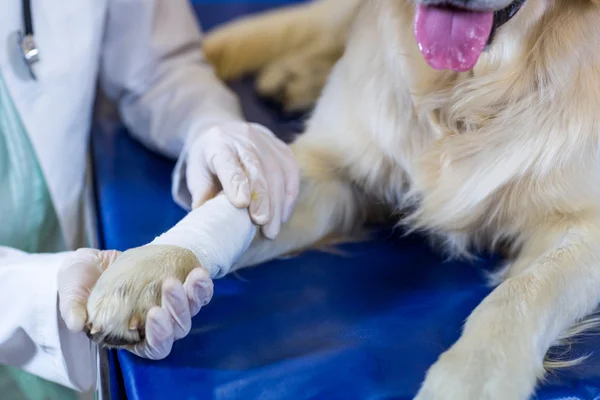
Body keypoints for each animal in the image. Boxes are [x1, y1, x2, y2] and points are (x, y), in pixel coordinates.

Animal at [85, 0, 600, 400]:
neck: (464, 92)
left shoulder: (583, 231)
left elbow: (519, 293)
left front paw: (475, 378)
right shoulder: (328, 172)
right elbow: (236, 208)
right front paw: (148, 271)